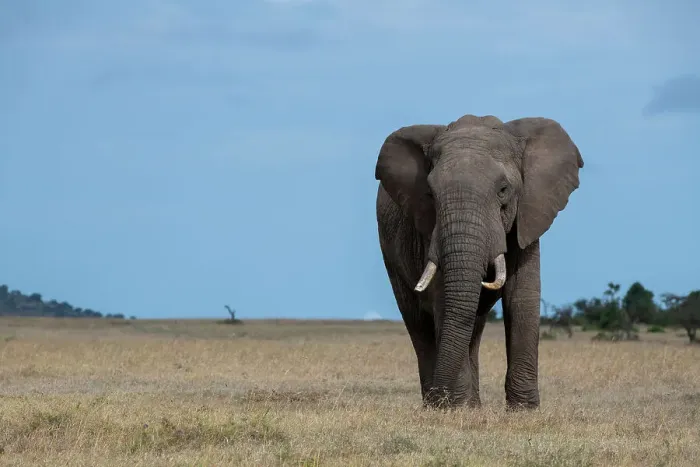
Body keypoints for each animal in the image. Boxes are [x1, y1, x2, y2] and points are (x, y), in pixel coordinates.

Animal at [374, 114, 583, 410]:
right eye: (430, 194)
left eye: (503, 190)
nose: (443, 396)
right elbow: (444, 299)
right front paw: (456, 409)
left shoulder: (529, 215)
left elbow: (522, 297)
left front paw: (524, 411)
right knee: (418, 323)